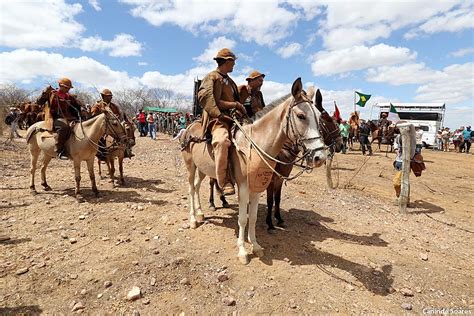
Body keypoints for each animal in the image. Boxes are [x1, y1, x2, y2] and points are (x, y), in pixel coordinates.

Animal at [180, 78, 328, 264]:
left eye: (320, 117)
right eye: (301, 116)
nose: (320, 157)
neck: (254, 144)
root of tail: (190, 127)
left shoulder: (258, 187)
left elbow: (254, 216)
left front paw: (255, 245)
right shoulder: (243, 187)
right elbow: (243, 218)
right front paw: (243, 251)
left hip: (202, 169)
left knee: (198, 187)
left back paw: (200, 213)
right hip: (190, 166)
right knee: (191, 189)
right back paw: (193, 219)